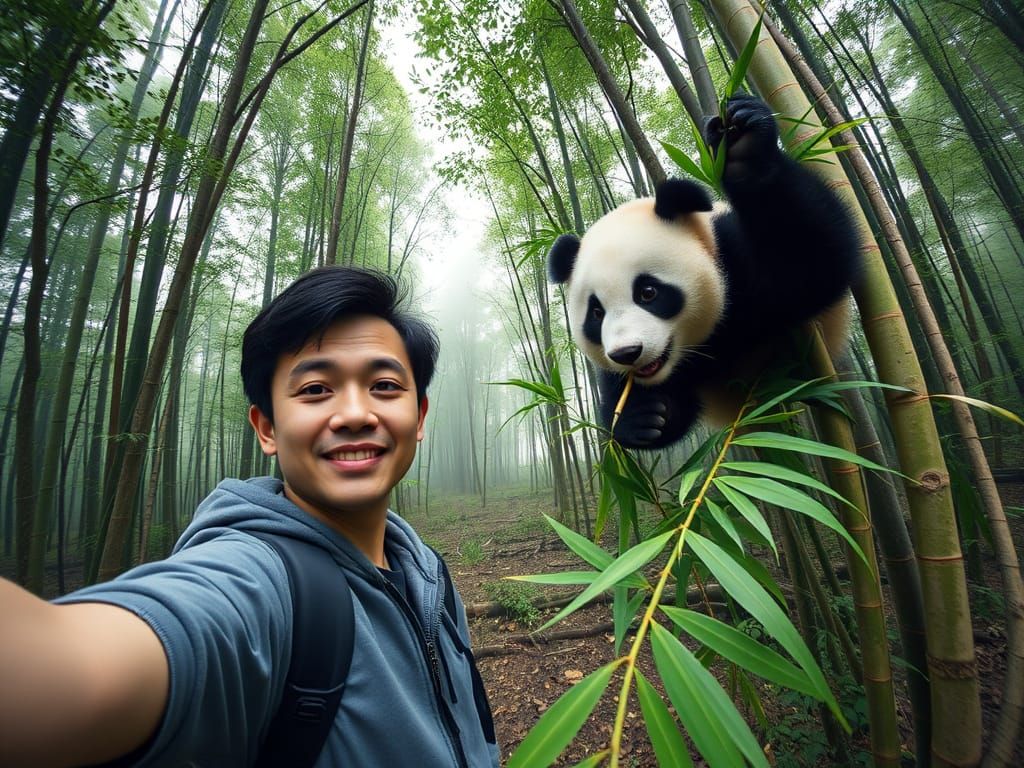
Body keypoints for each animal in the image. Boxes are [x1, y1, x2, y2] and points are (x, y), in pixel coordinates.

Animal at [548, 94, 861, 449]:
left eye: (648, 292)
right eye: (596, 313)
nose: (628, 353)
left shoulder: (734, 257)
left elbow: (806, 261)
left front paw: (743, 148)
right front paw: (643, 415)